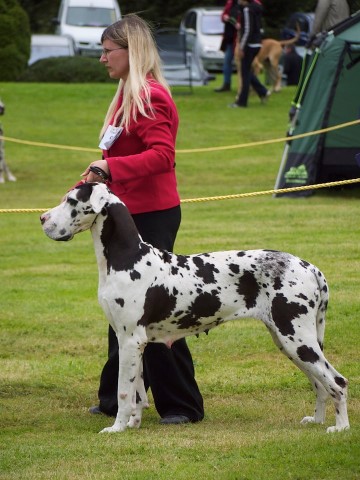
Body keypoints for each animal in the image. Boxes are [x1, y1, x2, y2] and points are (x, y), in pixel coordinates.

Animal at [40, 182, 348, 434]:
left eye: (70, 200)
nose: (42, 218)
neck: (127, 257)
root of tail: (310, 267)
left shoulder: (129, 340)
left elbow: (124, 393)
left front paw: (116, 428)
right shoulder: (132, 342)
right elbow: (137, 391)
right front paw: (132, 424)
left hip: (298, 340)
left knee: (337, 382)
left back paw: (340, 427)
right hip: (289, 343)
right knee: (320, 385)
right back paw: (317, 420)